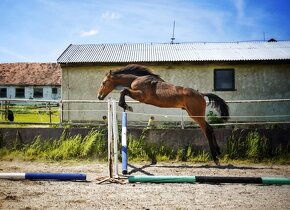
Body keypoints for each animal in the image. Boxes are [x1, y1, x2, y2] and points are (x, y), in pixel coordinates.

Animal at [97, 63, 229, 165]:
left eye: (104, 82)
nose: (99, 96)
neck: (136, 80)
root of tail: (201, 94)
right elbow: (124, 91)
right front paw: (126, 106)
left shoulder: (141, 96)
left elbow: (124, 91)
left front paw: (127, 106)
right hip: (195, 114)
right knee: (210, 128)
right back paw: (218, 152)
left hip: (195, 115)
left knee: (207, 130)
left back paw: (215, 158)